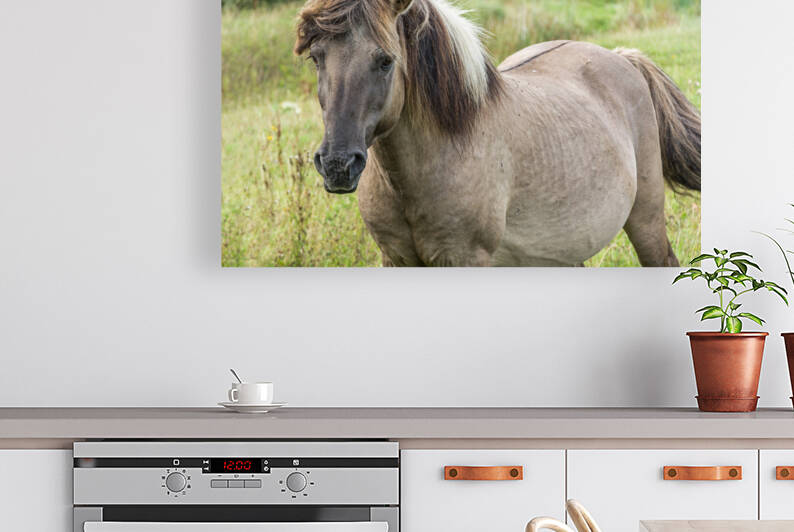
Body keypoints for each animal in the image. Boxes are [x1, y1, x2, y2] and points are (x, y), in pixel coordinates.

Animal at [294, 0, 701, 266]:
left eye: (385, 61)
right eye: (316, 57)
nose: (337, 165)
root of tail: (621, 56)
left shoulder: (466, 259)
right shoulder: (395, 259)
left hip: (646, 219)